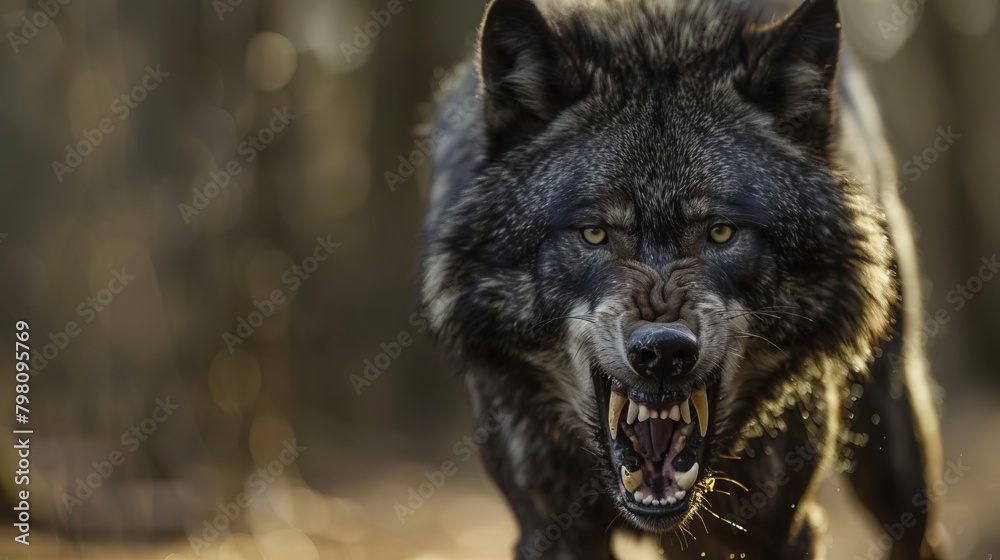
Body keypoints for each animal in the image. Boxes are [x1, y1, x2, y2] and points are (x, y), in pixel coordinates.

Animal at [419, 0, 943, 558]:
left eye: (721, 231)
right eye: (593, 232)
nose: (663, 352)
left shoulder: (781, 530)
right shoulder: (550, 532)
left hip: (896, 451)